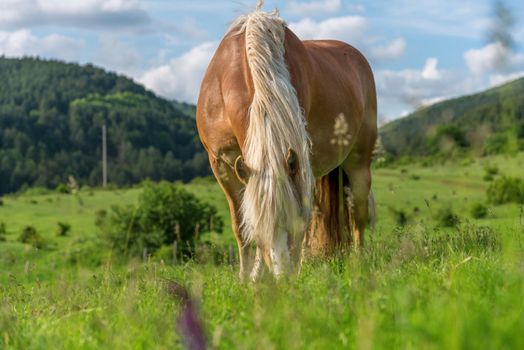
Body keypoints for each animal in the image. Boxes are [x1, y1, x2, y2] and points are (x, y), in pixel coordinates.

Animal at [196, 0, 376, 278]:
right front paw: (248, 277)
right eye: (261, 229)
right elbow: (240, 225)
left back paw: (359, 262)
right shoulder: (222, 165)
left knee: (358, 212)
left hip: (359, 159)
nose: (284, 278)